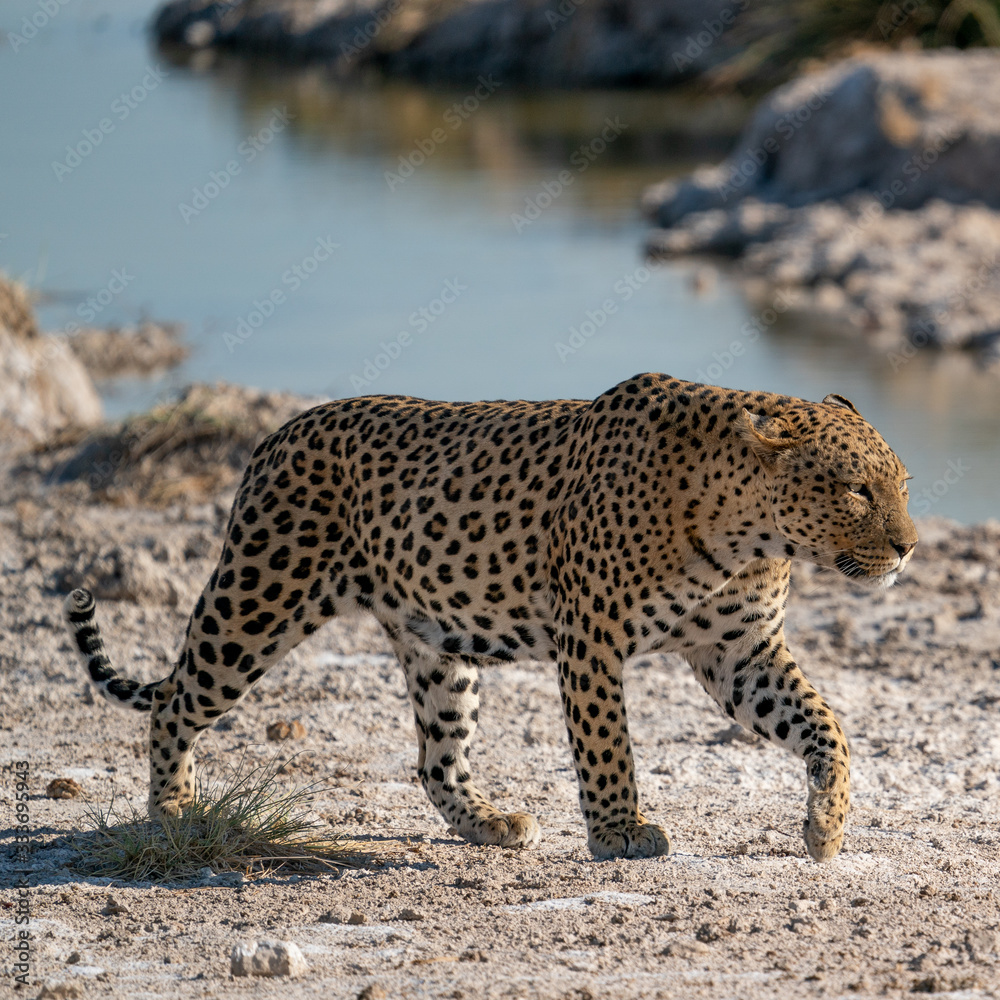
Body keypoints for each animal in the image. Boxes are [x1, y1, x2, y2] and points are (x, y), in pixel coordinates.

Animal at [66, 374, 916, 860]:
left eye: (902, 484)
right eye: (856, 492)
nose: (908, 547)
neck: (749, 533)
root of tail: (273, 437)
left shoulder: (740, 651)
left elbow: (825, 726)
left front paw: (827, 824)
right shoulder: (592, 641)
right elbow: (608, 747)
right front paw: (620, 833)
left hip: (437, 651)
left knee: (435, 758)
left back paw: (489, 824)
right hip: (258, 598)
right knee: (176, 701)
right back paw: (172, 812)